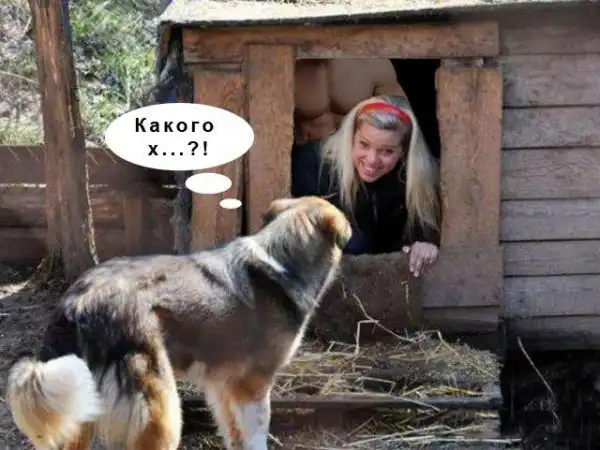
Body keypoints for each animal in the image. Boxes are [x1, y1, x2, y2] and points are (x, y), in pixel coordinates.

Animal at [5, 196, 352, 450]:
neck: (281, 263)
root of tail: (76, 302)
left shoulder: (223, 387)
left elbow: (233, 434)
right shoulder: (253, 385)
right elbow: (256, 436)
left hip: (81, 408)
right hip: (161, 412)